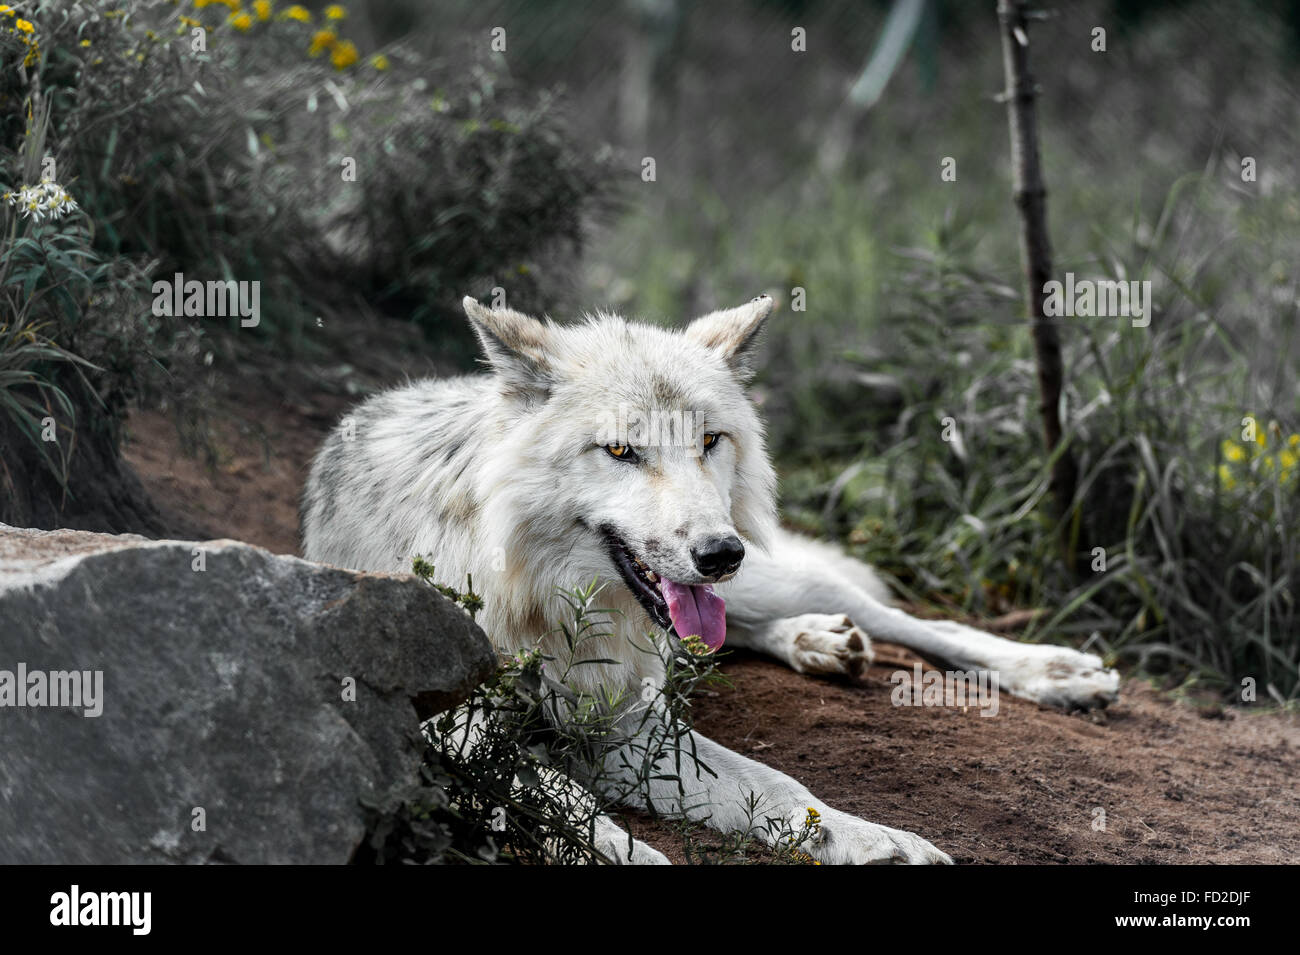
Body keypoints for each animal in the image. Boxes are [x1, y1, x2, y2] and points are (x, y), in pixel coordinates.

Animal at [301, 294, 1118, 862]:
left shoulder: (631, 724)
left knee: (908, 619)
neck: (551, 605)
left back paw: (1057, 672)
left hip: (772, 579)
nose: (720, 553)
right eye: (621, 450)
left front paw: (873, 839)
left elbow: (779, 785)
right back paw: (821, 644)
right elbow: (569, 807)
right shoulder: (461, 734)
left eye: (710, 440)